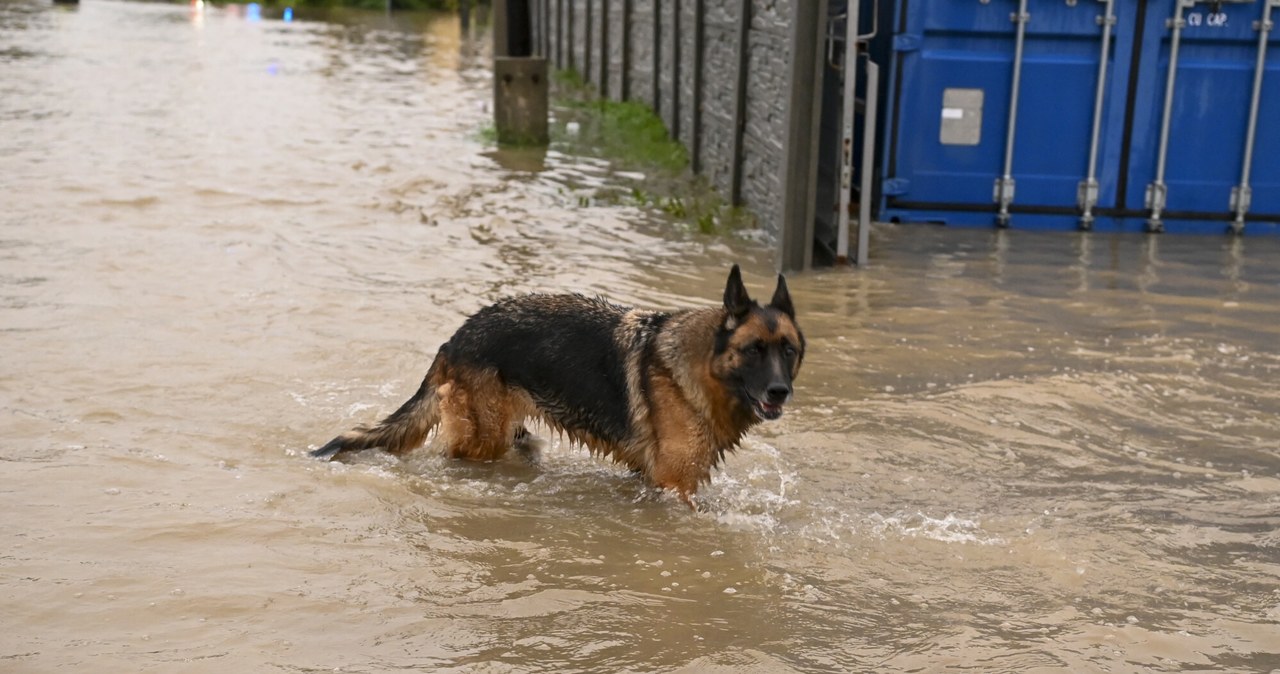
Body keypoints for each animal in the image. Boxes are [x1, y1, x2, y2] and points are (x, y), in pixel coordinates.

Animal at [312, 263, 798, 506]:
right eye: (754, 350)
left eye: (788, 351)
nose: (780, 392)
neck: (702, 366)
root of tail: (457, 337)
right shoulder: (673, 484)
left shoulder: (650, 476)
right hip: (482, 438)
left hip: (504, 430)